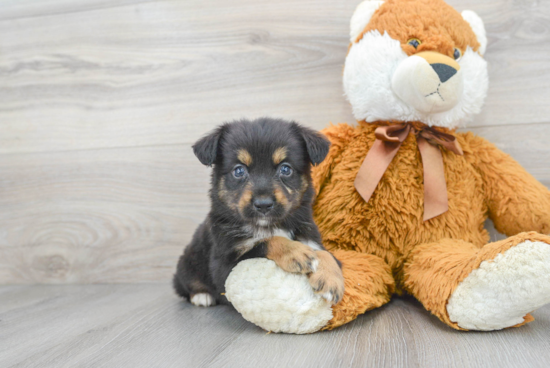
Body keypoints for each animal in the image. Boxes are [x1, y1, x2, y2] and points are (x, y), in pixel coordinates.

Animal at [174, 118, 344, 308]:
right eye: (239, 170)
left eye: (285, 169)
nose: (263, 205)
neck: (270, 225)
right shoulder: (225, 266)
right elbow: (265, 242)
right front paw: (296, 252)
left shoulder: (310, 238)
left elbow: (326, 254)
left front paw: (331, 281)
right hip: (188, 262)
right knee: (183, 283)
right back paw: (202, 296)